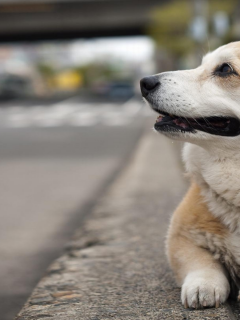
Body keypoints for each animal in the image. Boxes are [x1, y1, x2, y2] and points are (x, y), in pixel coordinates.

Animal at [140, 41, 240, 308]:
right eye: (201, 63)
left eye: (225, 69)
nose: (145, 82)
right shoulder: (180, 235)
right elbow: (201, 261)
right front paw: (203, 286)